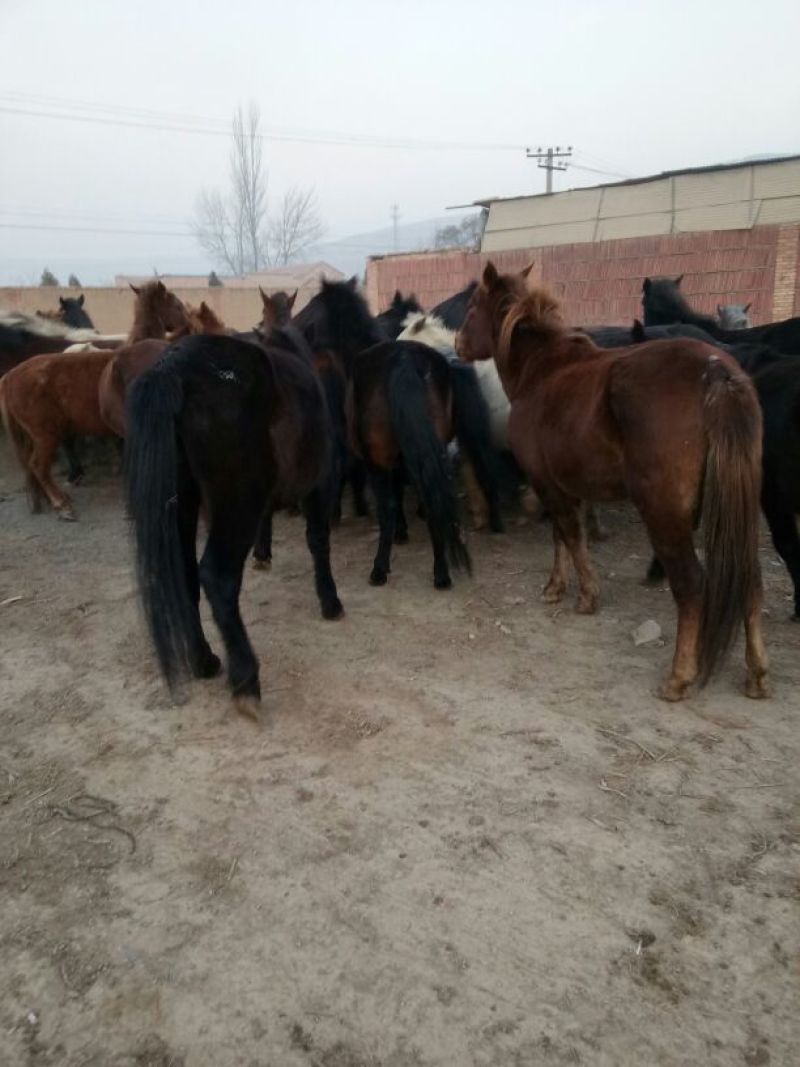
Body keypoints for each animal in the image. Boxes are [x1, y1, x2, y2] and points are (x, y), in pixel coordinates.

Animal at [1, 283, 188, 518]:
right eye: (176, 304)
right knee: (37, 466)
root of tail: (10, 376)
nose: (186, 325)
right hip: (45, 436)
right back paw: (61, 504)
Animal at [125, 328, 344, 720]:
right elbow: (318, 540)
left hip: (183, 502)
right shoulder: (322, 483)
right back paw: (246, 680)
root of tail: (173, 367)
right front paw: (330, 600)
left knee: (186, 576)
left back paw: (204, 660)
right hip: (237, 503)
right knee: (217, 577)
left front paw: (264, 554)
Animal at [457, 262, 768, 702]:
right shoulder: (565, 485)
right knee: (750, 581)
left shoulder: (546, 482)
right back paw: (756, 673)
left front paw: (586, 596)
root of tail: (716, 371)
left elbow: (571, 537)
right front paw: (556, 587)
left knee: (691, 586)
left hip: (664, 513)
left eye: (471, 307)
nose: (458, 345)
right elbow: (562, 537)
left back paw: (679, 677)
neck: (544, 370)